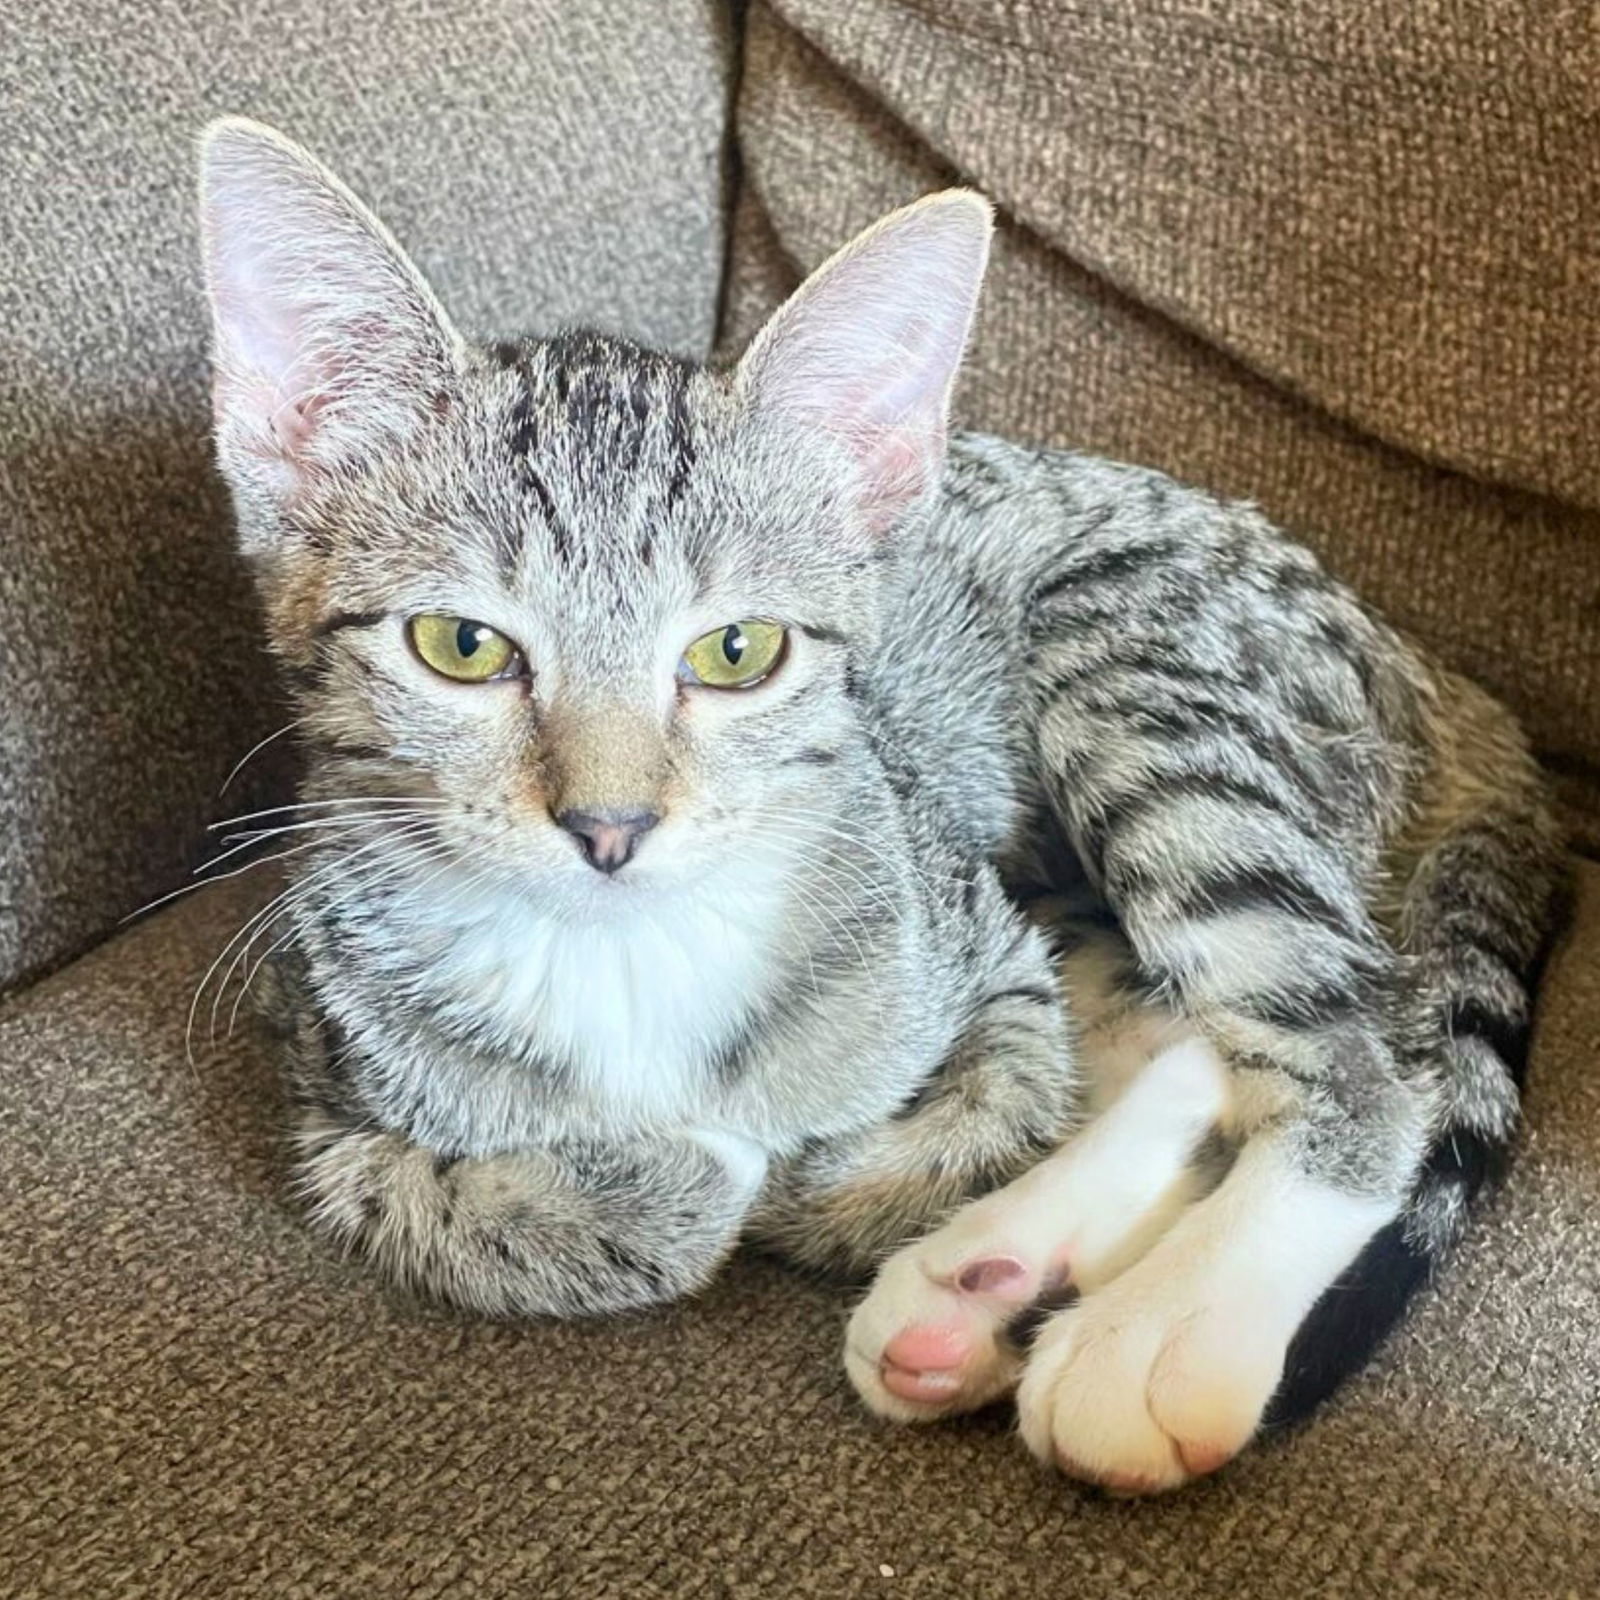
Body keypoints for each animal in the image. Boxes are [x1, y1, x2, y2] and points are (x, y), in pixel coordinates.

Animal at [193, 118, 1555, 1491]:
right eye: (461, 645)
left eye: (736, 652)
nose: (610, 825)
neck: (626, 962)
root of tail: (1445, 680)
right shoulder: (321, 1075)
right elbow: (434, 1205)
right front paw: (684, 1182)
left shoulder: (966, 921)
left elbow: (957, 1121)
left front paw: (797, 1171)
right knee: (1190, 1039)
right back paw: (981, 1294)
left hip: (1130, 662)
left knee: (1360, 1057)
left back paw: (1156, 1322)